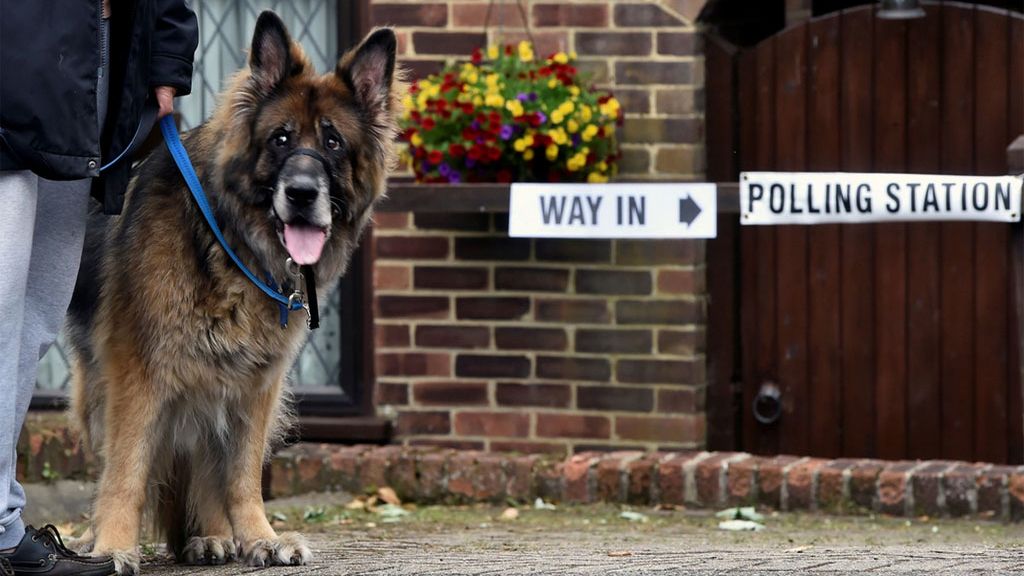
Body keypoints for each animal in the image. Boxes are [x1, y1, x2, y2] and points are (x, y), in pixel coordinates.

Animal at [62, 11, 399, 569]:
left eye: (333, 143)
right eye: (281, 139)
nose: (301, 194)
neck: (228, 239)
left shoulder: (256, 384)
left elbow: (241, 475)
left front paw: (260, 536)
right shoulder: (138, 374)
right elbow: (126, 469)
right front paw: (111, 546)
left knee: (204, 462)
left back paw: (213, 534)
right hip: (101, 390)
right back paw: (93, 539)